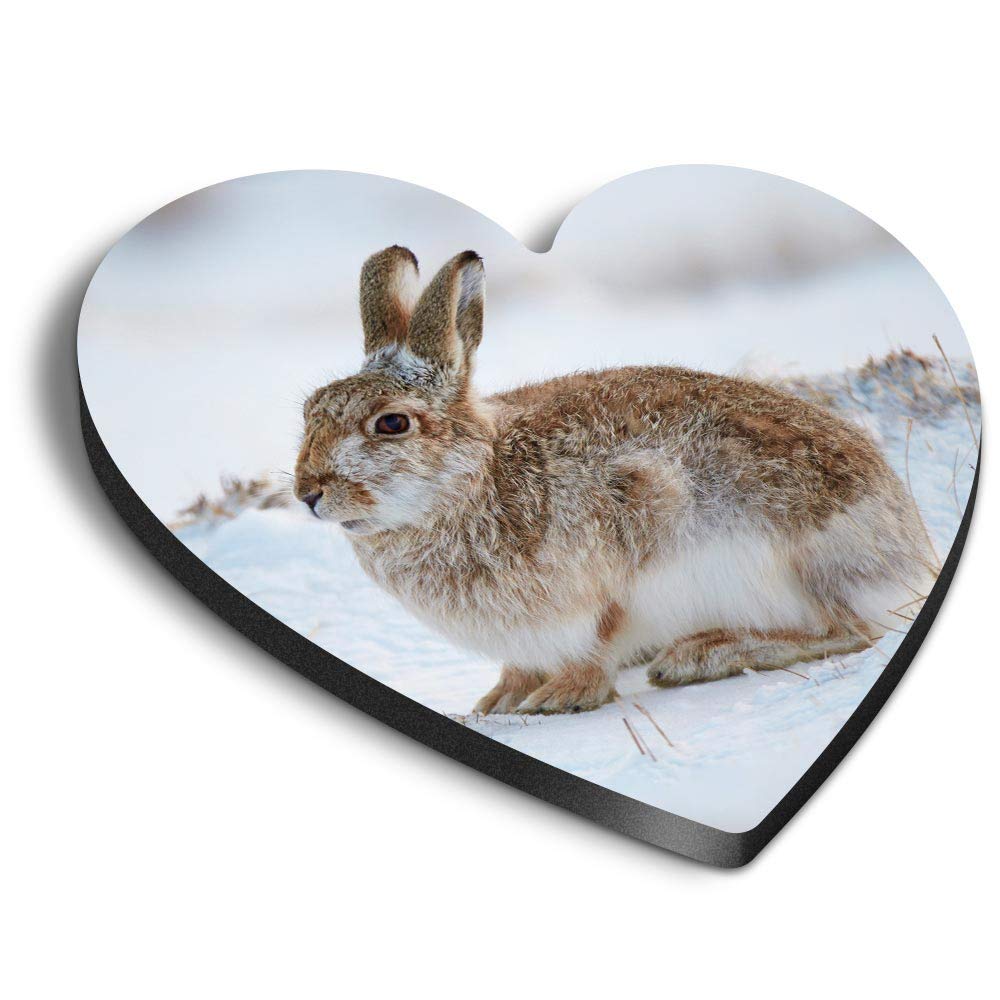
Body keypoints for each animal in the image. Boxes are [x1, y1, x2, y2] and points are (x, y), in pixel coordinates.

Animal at [294, 245, 936, 715]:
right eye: (309, 411)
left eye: (391, 423)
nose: (308, 494)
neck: (471, 481)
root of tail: (912, 554)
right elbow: (520, 667)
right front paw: (496, 702)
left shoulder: (615, 554)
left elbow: (599, 637)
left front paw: (559, 698)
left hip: (811, 562)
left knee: (851, 630)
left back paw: (702, 654)